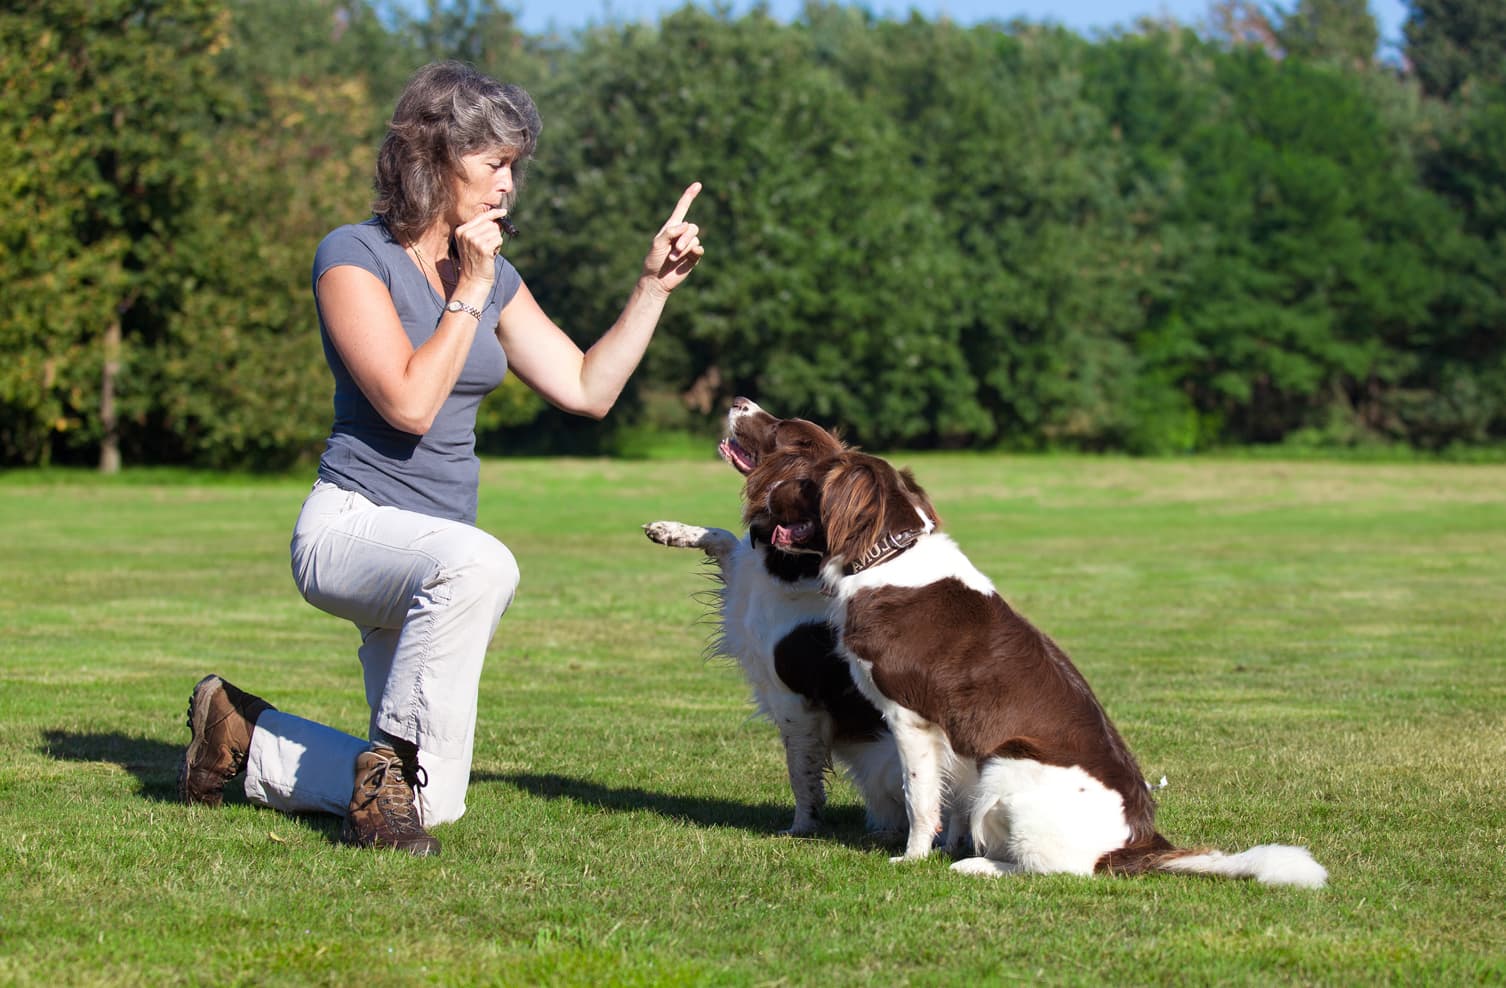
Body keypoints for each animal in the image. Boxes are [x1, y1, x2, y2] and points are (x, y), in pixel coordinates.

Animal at [638, 397, 897, 837]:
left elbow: (801, 771)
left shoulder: (794, 699)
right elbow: (723, 537)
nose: (738, 400)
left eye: (778, 430)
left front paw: (803, 827)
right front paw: (671, 530)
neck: (797, 560)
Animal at [753, 409, 1331, 885]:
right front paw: (946, 844)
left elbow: (921, 797)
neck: (888, 556)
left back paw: (976, 866)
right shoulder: (956, 737)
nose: (763, 504)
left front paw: (914, 856)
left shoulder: (910, 717)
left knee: (1058, 870)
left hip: (1008, 767)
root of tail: (1136, 843)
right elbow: (951, 797)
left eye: (804, 482)